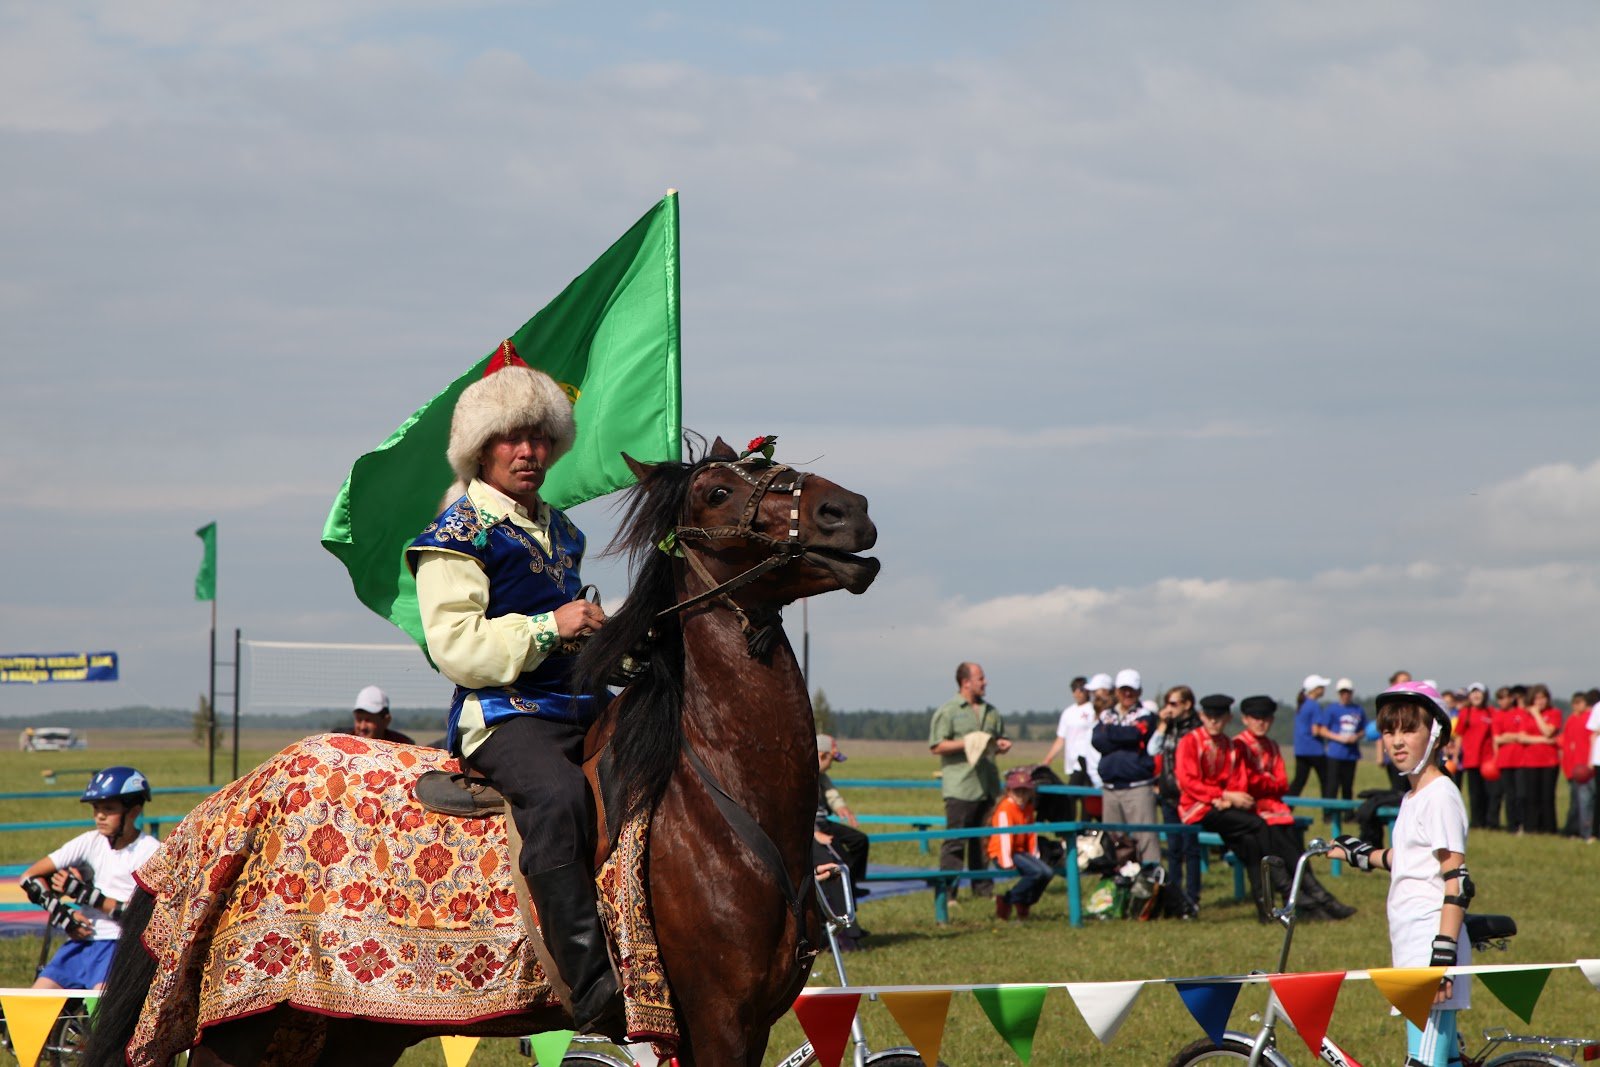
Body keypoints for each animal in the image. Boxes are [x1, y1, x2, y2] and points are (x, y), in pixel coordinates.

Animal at [87, 435, 883, 1067]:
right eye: (719, 491)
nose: (851, 511)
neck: (715, 796)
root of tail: (223, 807)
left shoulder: (735, 1025)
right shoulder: (717, 1020)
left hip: (350, 1032)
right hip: (243, 1034)